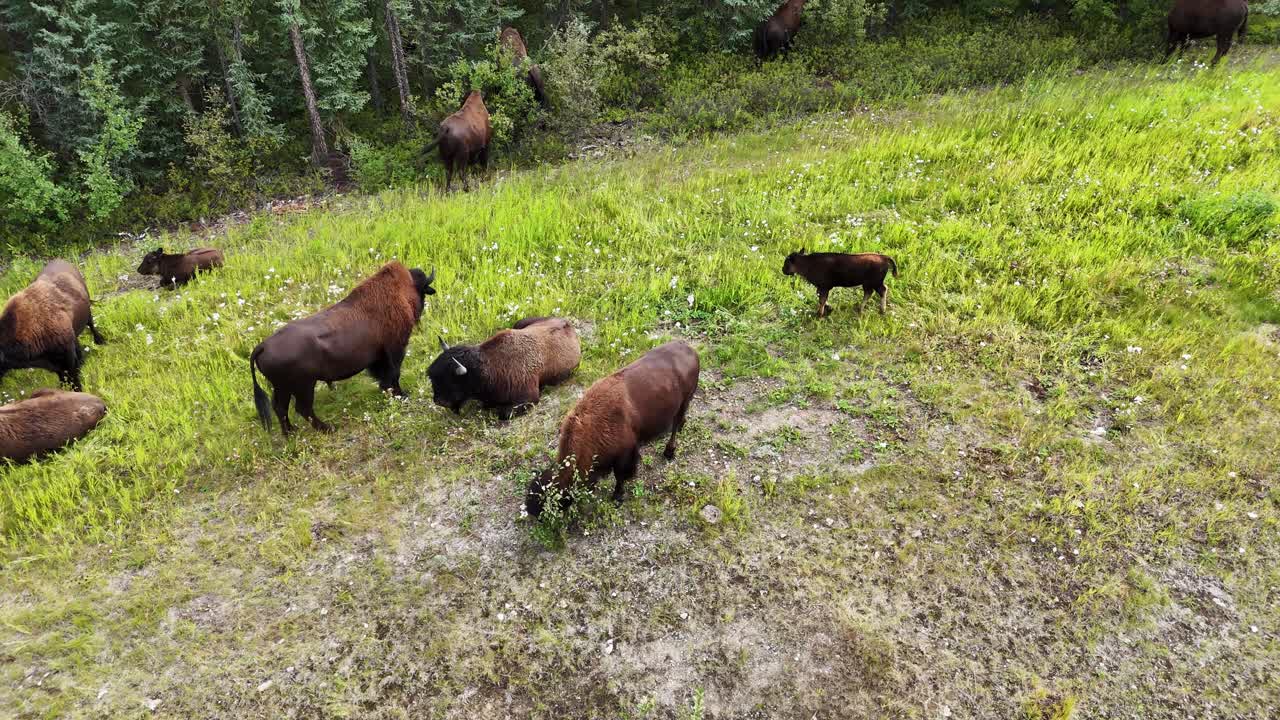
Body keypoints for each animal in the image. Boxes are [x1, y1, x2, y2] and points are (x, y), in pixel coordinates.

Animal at [0, 260, 106, 391]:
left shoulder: (67, 360)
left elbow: (74, 379)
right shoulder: (57, 365)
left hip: (88, 312)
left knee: (91, 324)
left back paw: (100, 341)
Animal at [250, 261, 435, 435]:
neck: (400, 292)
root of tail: (262, 346)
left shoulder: (378, 358)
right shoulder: (395, 350)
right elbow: (394, 374)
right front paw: (401, 395)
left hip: (282, 388)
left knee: (280, 407)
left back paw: (291, 432)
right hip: (303, 386)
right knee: (302, 408)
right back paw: (328, 428)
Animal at [429, 316, 580, 421]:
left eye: (451, 380)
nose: (438, 401)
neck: (488, 366)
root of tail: (566, 323)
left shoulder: (529, 398)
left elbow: (504, 413)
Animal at [525, 340, 700, 519]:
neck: (592, 427)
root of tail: (690, 349)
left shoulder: (624, 454)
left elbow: (620, 476)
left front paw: (617, 496)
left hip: (685, 400)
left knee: (675, 426)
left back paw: (669, 452)